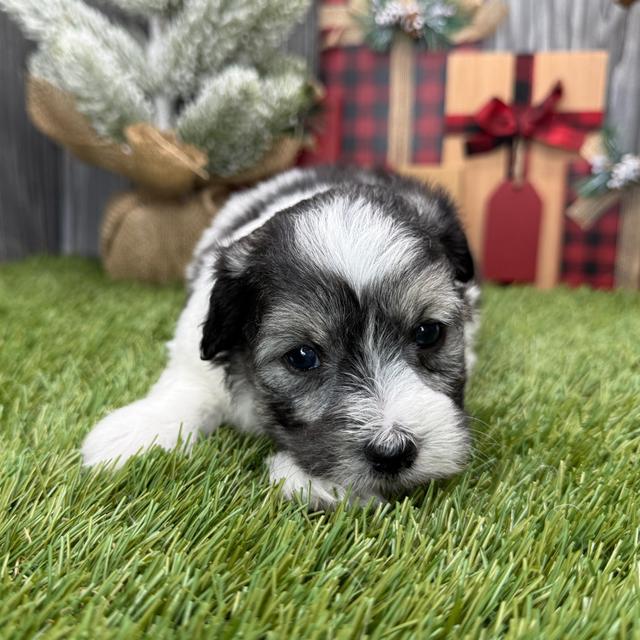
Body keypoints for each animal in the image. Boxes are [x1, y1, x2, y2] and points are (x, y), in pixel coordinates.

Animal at [81, 168, 480, 508]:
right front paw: (135, 433)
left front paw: (314, 481)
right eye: (302, 356)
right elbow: (189, 387)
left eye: (428, 333)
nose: (392, 451)